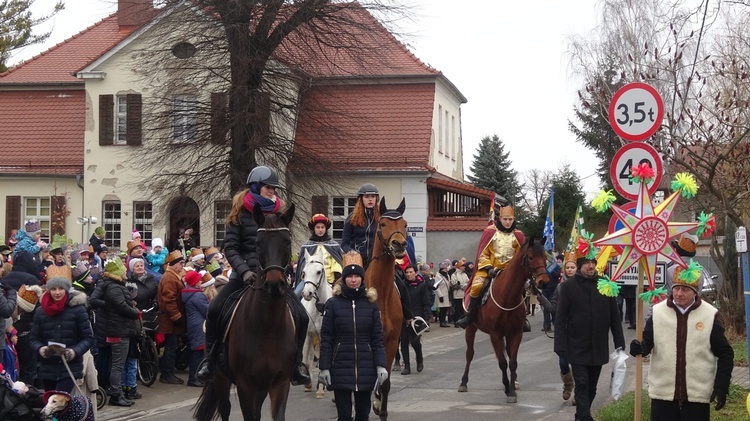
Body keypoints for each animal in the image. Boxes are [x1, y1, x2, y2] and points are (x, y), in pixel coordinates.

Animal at [194, 204, 296, 420]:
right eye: (257, 243)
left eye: (287, 241)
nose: (274, 285)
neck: (269, 327)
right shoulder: (245, 385)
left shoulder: (280, 383)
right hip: (221, 377)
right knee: (225, 408)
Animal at [456, 238, 548, 402]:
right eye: (531, 257)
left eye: (545, 257)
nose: (543, 281)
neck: (507, 296)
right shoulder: (495, 334)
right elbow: (502, 362)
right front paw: (507, 387)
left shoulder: (516, 333)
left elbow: (512, 362)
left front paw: (512, 389)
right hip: (471, 327)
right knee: (470, 353)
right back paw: (463, 382)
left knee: (508, 353)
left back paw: (514, 381)